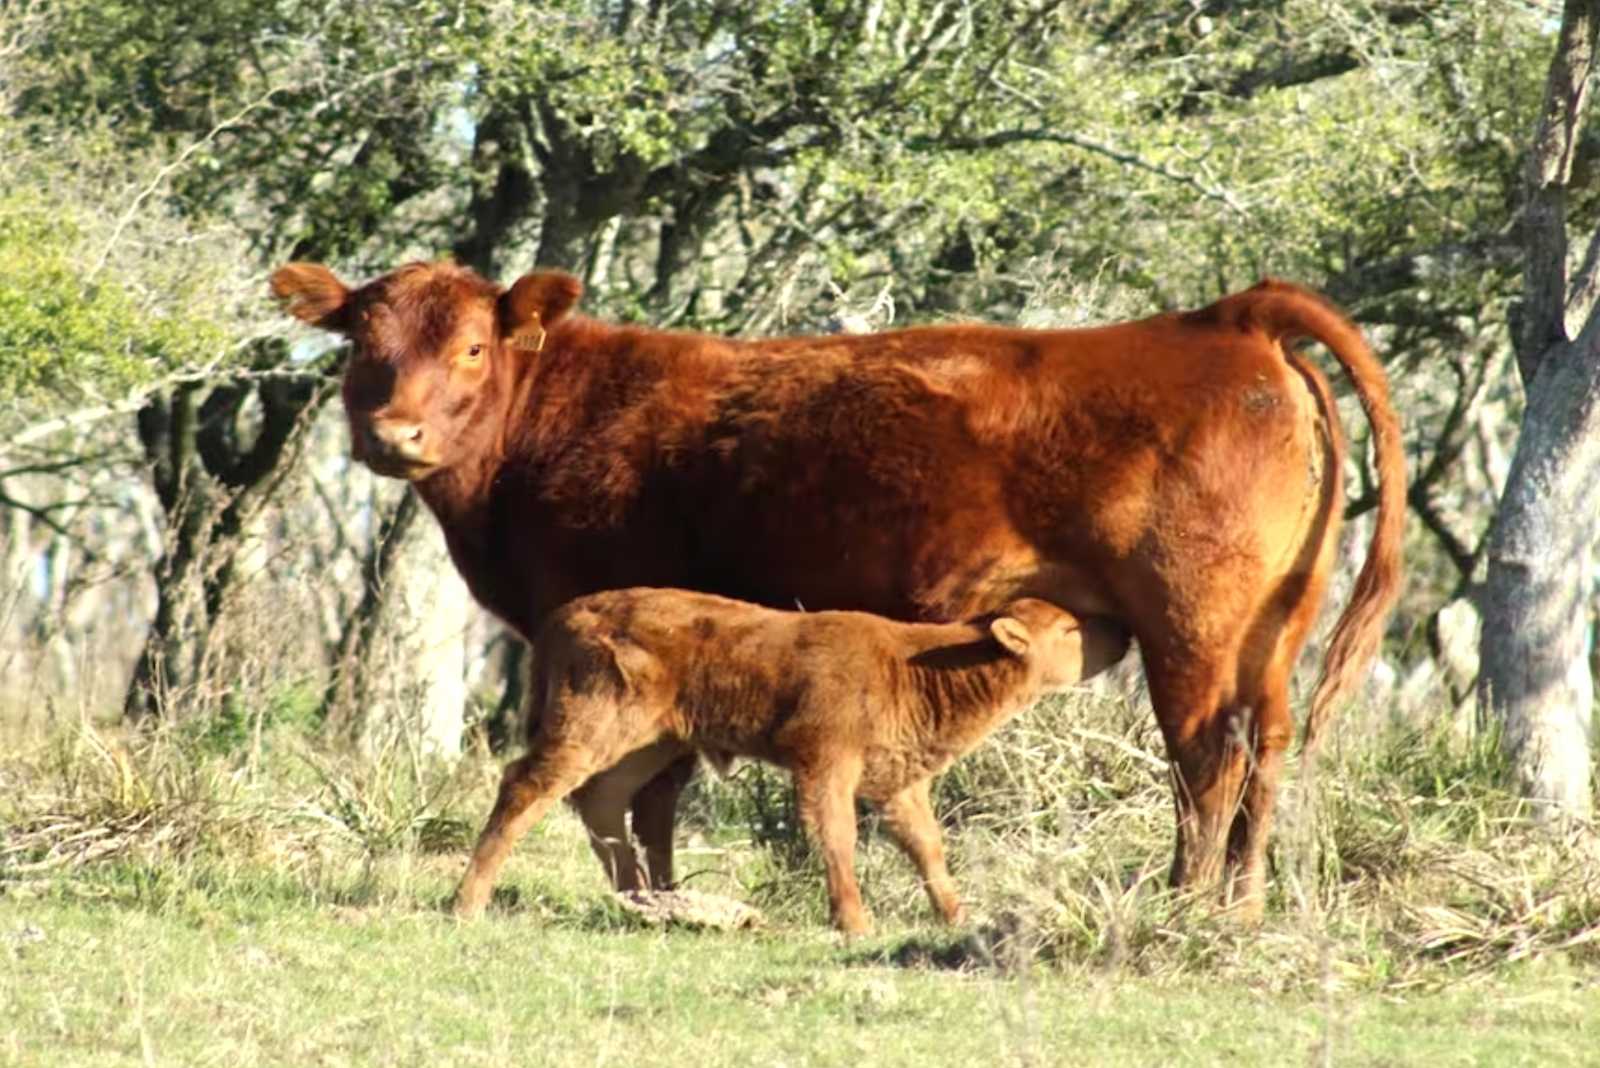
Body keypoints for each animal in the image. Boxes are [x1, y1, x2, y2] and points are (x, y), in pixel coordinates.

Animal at [444, 588, 1132, 927]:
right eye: (1068, 629)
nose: (1121, 632)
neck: (922, 665)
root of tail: (565, 614)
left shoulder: (896, 782)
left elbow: (927, 846)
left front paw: (956, 917)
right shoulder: (825, 765)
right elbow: (836, 836)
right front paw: (854, 922)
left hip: (650, 742)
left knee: (603, 803)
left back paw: (640, 899)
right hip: (589, 730)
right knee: (527, 787)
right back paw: (467, 903)